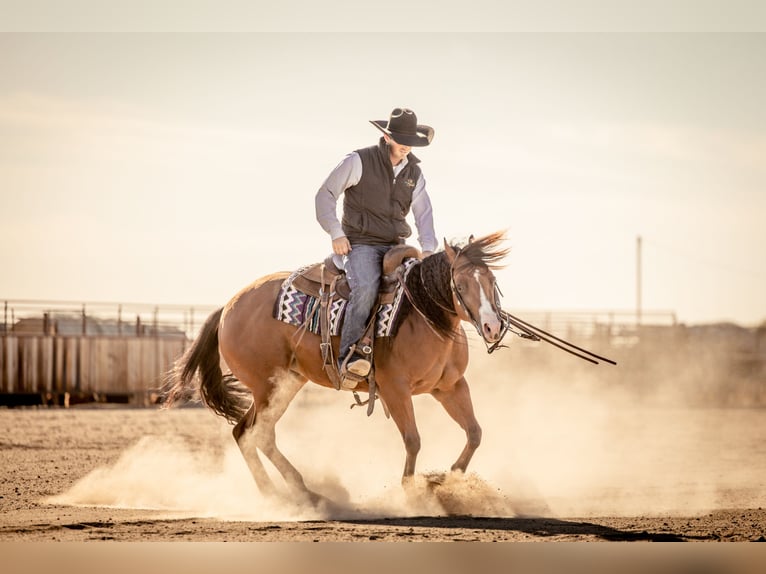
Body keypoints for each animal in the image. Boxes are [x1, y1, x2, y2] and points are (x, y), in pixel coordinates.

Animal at [166, 232, 516, 506]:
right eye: (460, 285)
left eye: (492, 281)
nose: (492, 326)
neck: (422, 316)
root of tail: (228, 306)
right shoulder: (395, 389)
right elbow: (413, 440)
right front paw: (412, 492)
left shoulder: (449, 386)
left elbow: (474, 433)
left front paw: (443, 482)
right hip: (268, 386)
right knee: (257, 434)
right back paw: (285, 495)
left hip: (285, 383)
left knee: (247, 433)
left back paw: (296, 493)